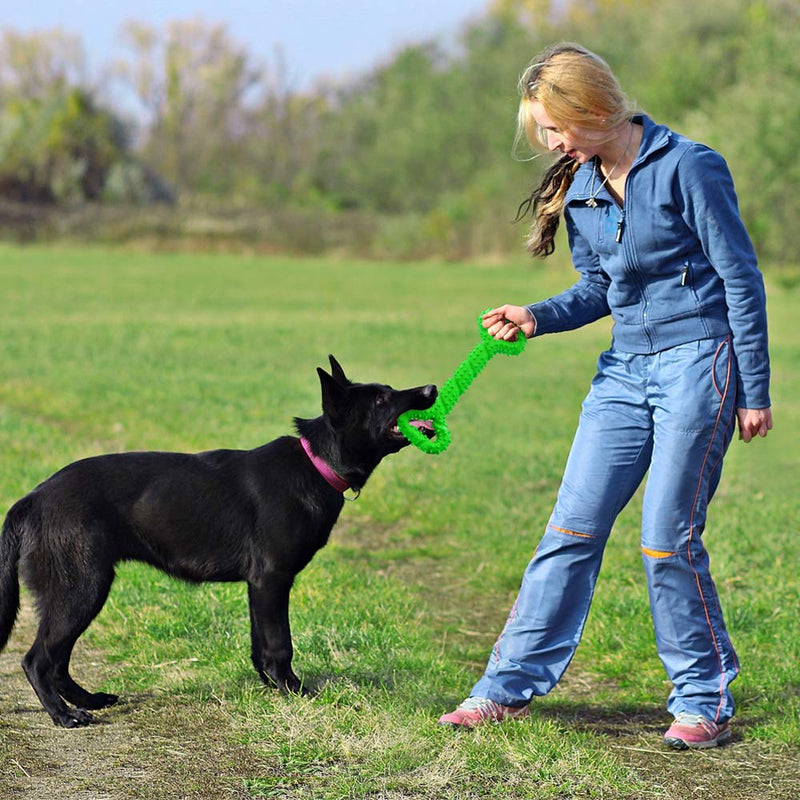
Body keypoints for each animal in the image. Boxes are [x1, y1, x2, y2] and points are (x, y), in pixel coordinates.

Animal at [0, 360, 438, 728]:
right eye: (381, 398)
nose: (432, 387)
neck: (316, 463)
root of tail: (32, 499)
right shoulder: (272, 580)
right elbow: (281, 644)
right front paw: (294, 692)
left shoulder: (258, 587)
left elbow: (261, 646)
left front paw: (271, 688)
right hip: (81, 589)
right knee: (37, 660)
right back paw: (63, 715)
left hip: (81, 592)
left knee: (57, 661)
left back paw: (87, 701)